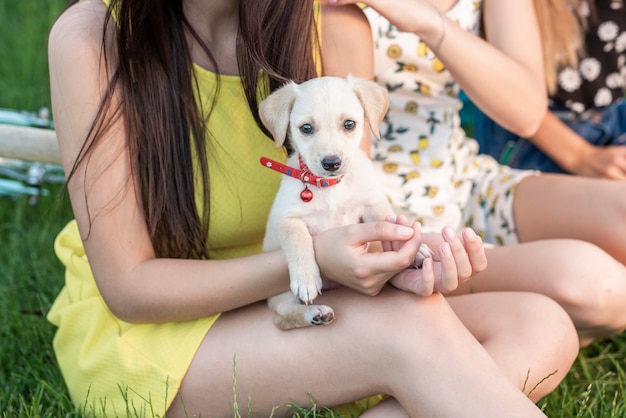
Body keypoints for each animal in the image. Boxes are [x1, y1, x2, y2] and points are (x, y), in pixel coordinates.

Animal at [258, 75, 428, 330]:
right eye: (306, 128)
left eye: (349, 124)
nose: (331, 163)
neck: (330, 187)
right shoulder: (286, 218)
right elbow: (299, 239)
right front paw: (306, 278)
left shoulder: (371, 204)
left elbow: (392, 223)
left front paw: (416, 249)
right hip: (280, 295)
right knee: (283, 316)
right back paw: (314, 313)